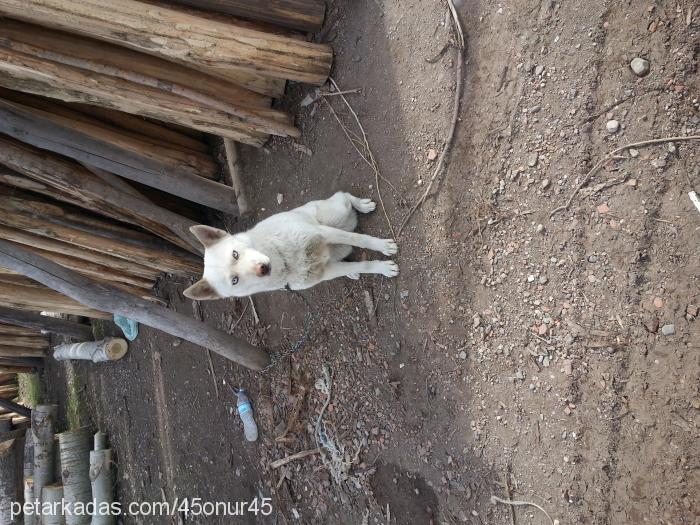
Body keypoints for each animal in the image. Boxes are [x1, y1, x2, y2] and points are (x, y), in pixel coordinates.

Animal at [183, 191, 400, 298]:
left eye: (235, 254)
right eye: (234, 280)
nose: (262, 268)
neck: (286, 260)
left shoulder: (323, 233)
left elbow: (360, 239)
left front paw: (383, 247)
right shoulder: (324, 273)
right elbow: (361, 265)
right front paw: (380, 268)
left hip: (334, 215)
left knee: (343, 196)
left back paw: (362, 205)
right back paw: (351, 273)